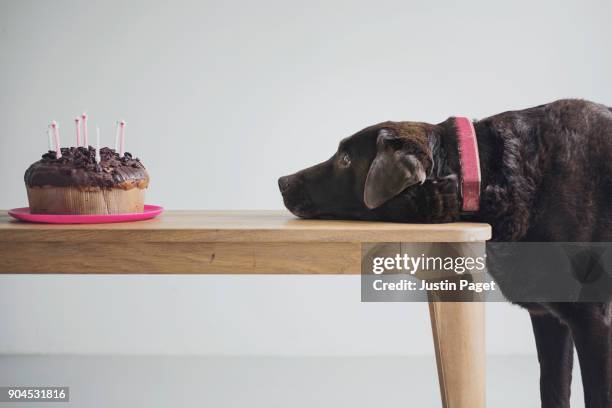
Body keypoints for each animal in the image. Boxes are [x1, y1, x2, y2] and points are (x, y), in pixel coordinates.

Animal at [278, 99, 612, 408]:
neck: (486, 175)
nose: (282, 181)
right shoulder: (548, 317)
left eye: (346, 159)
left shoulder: (592, 320)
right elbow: (552, 389)